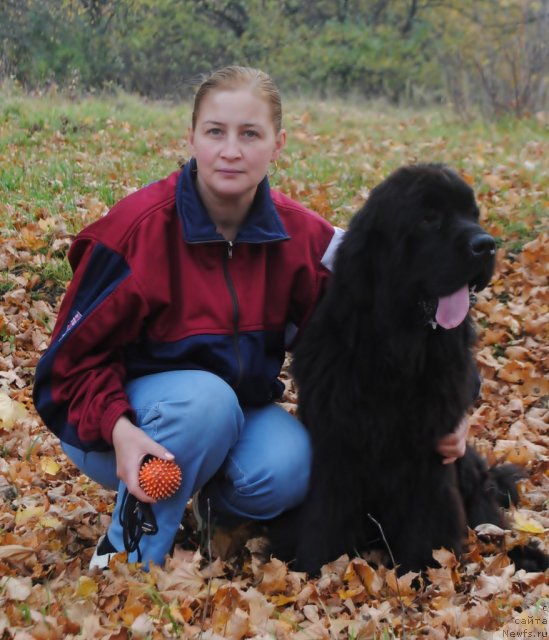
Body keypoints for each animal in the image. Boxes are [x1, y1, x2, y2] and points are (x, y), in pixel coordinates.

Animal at [272, 164, 544, 576]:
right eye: (429, 218)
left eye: (473, 214)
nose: (486, 244)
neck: (396, 352)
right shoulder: (336, 445)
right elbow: (324, 516)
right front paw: (316, 569)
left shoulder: (431, 455)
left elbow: (427, 523)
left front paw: (419, 573)